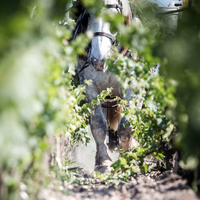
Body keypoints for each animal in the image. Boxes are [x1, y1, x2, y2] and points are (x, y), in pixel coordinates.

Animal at [73, 0, 139, 173]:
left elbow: (126, 125)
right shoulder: (90, 89)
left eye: (116, 17)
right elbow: (98, 125)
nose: (98, 60)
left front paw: (127, 157)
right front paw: (103, 162)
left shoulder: (133, 86)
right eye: (88, 15)